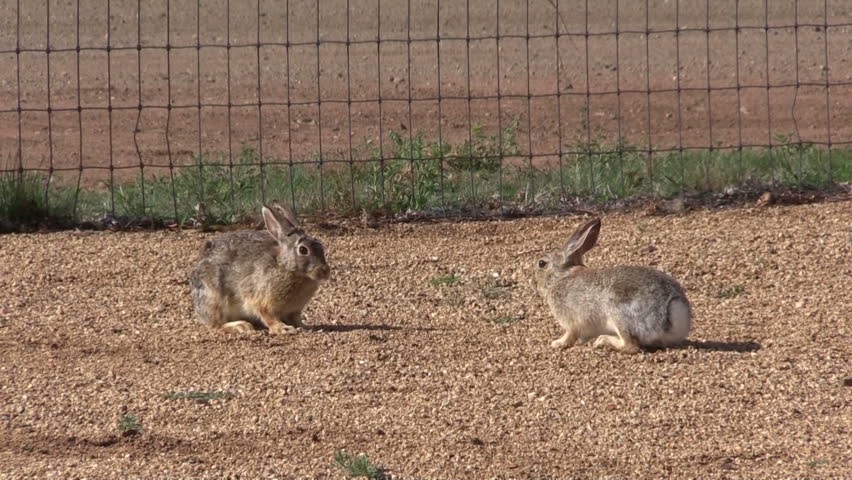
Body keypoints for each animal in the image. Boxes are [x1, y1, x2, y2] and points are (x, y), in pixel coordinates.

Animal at [189, 202, 330, 334]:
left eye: (321, 247)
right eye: (303, 250)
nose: (325, 272)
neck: (286, 268)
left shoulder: (294, 310)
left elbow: (296, 320)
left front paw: (307, 327)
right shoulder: (262, 301)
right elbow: (268, 317)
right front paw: (283, 328)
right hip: (214, 298)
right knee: (217, 324)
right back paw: (241, 326)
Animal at [532, 218, 692, 352]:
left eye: (542, 263)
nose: (534, 283)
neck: (561, 277)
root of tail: (673, 309)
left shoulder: (573, 320)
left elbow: (570, 334)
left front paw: (557, 343)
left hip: (620, 314)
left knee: (631, 346)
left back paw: (603, 341)